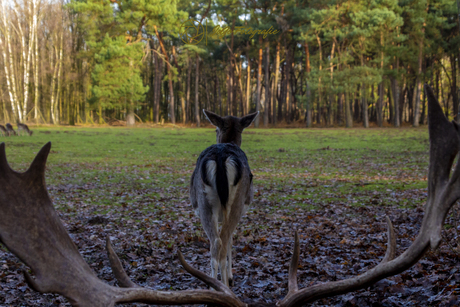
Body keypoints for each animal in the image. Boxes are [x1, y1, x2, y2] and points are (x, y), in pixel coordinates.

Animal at [190, 109, 258, 288]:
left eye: (215, 129)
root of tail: (221, 157)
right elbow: (232, 240)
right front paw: (231, 276)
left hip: (205, 204)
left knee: (216, 242)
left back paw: (214, 286)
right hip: (236, 203)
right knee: (223, 240)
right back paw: (225, 286)